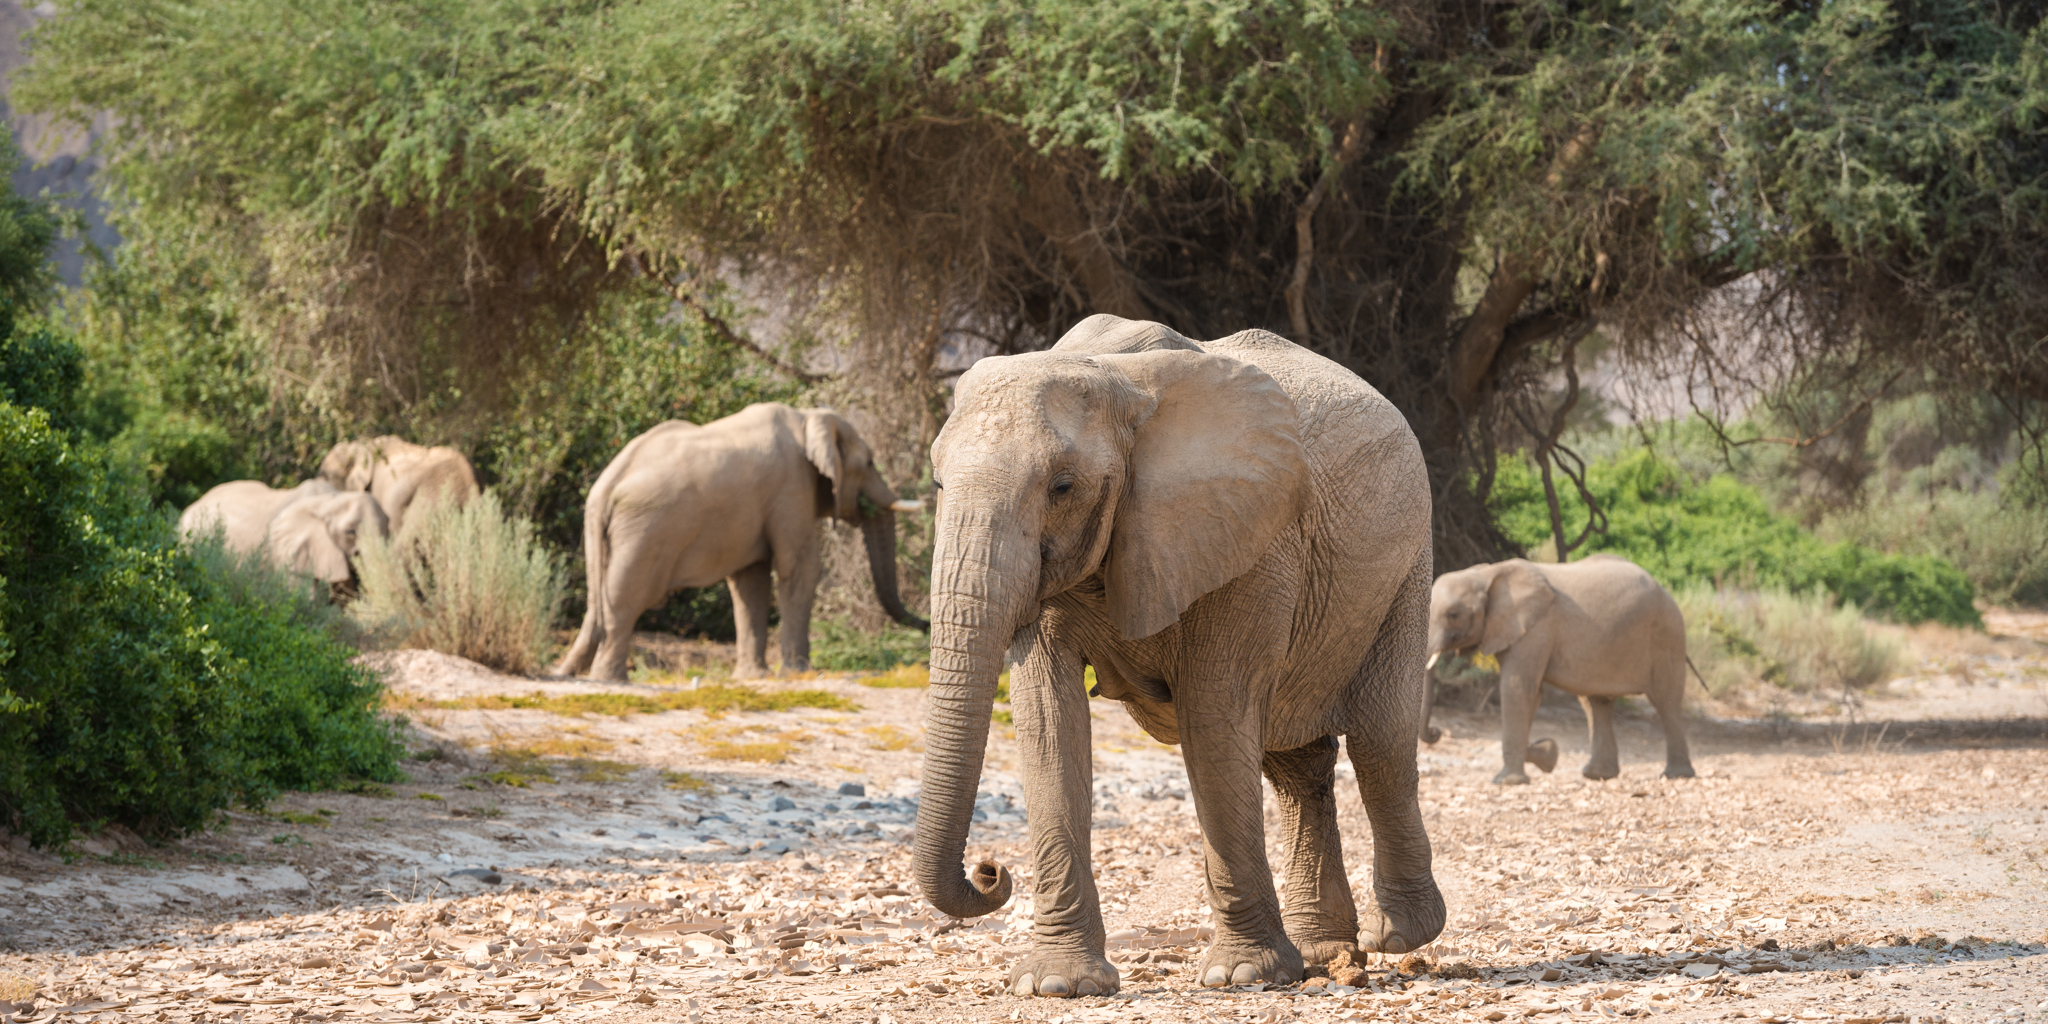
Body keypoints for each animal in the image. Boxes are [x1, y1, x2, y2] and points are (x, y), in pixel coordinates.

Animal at [551, 404, 929, 682]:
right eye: (869, 462)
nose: (925, 626)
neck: (808, 418)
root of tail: (605, 487)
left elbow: (750, 581)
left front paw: (754, 677)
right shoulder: (792, 486)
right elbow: (800, 567)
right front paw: (798, 673)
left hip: (608, 533)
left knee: (597, 604)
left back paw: (567, 673)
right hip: (643, 531)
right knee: (625, 597)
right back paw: (609, 681)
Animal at [911, 315, 1444, 998]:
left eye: (1063, 486)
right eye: (938, 483)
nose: (990, 872)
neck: (1111, 378)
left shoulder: (1249, 537)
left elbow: (1213, 714)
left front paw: (1241, 974)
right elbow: (1049, 723)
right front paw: (1057, 985)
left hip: (1406, 561)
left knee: (1379, 742)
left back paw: (1396, 937)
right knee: (1296, 765)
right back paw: (1323, 954)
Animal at [1425, 554, 1695, 785]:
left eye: (1453, 614)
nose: (1436, 732)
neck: (1487, 573)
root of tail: (1666, 592)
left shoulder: (1535, 628)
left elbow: (1518, 688)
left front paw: (1508, 780)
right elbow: (1532, 694)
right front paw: (1546, 754)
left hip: (1667, 635)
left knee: (1665, 701)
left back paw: (1676, 776)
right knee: (1596, 703)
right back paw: (1597, 775)